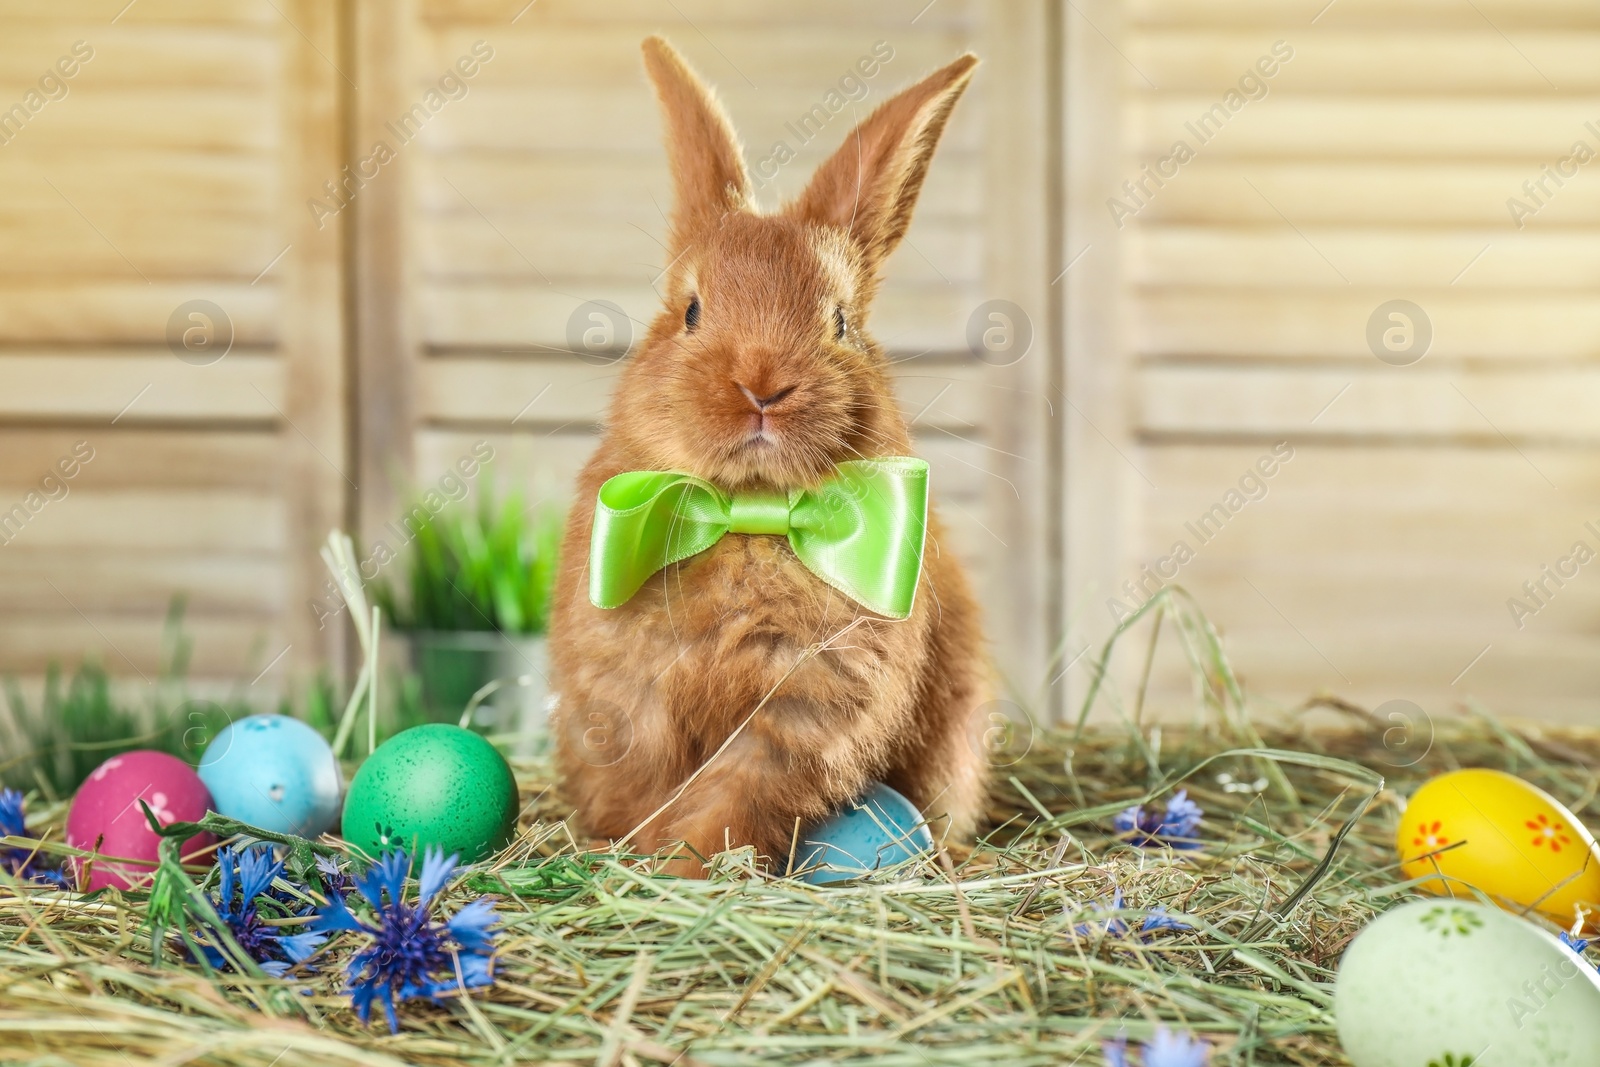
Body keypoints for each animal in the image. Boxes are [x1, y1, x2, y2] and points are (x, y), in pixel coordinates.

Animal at [556, 37, 992, 883]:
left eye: (842, 322)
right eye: (691, 311)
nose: (762, 384)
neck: (748, 513)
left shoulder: (800, 712)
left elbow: (730, 799)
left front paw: (683, 869)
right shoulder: (634, 704)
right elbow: (650, 789)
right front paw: (644, 860)